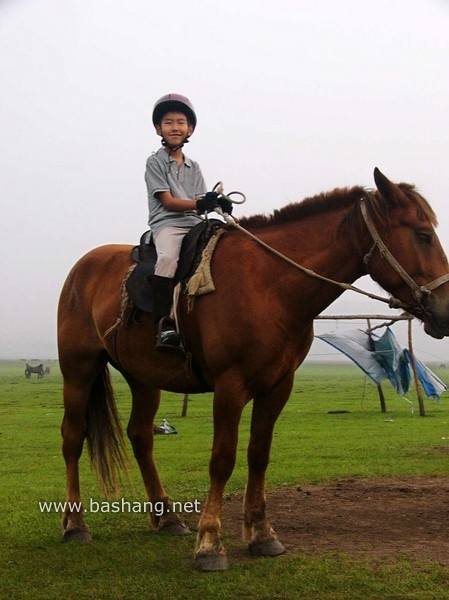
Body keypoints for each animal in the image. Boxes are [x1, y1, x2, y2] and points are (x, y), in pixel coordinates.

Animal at [57, 168, 448, 568]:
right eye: (422, 234)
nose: (444, 309)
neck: (269, 285)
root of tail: (83, 268)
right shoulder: (230, 387)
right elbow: (222, 459)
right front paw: (210, 543)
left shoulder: (277, 387)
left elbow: (259, 454)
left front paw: (262, 535)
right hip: (78, 369)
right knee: (73, 437)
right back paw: (75, 525)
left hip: (144, 378)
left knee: (141, 437)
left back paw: (166, 517)